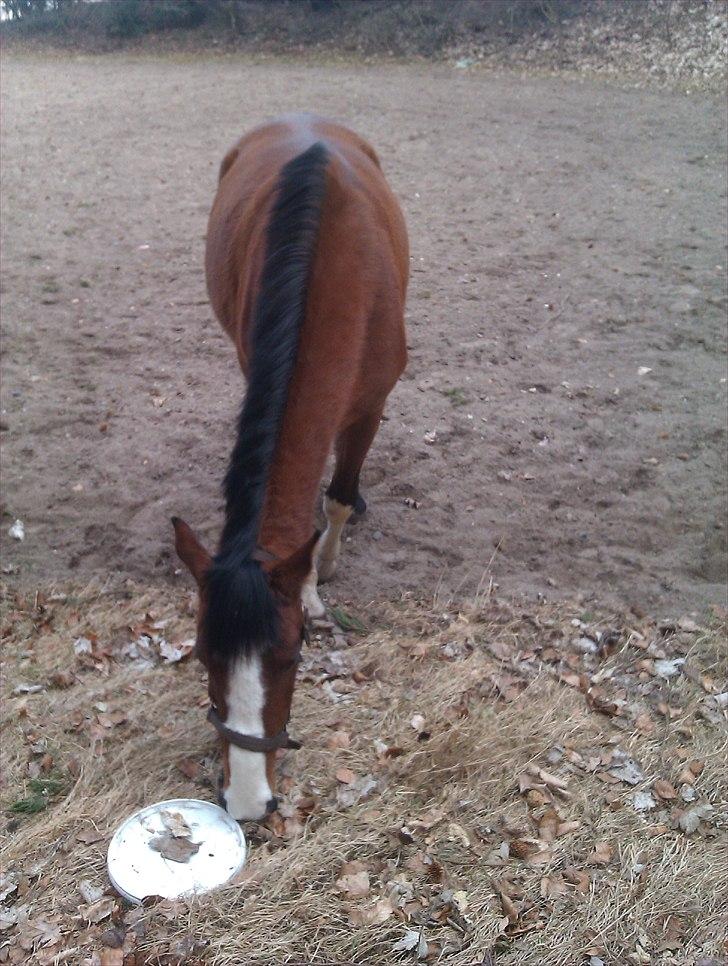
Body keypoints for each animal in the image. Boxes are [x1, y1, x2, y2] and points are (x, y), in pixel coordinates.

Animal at [172, 115, 410, 824]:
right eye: (203, 656)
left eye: (294, 652)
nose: (249, 801)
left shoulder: (371, 404)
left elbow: (336, 497)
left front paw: (317, 573)